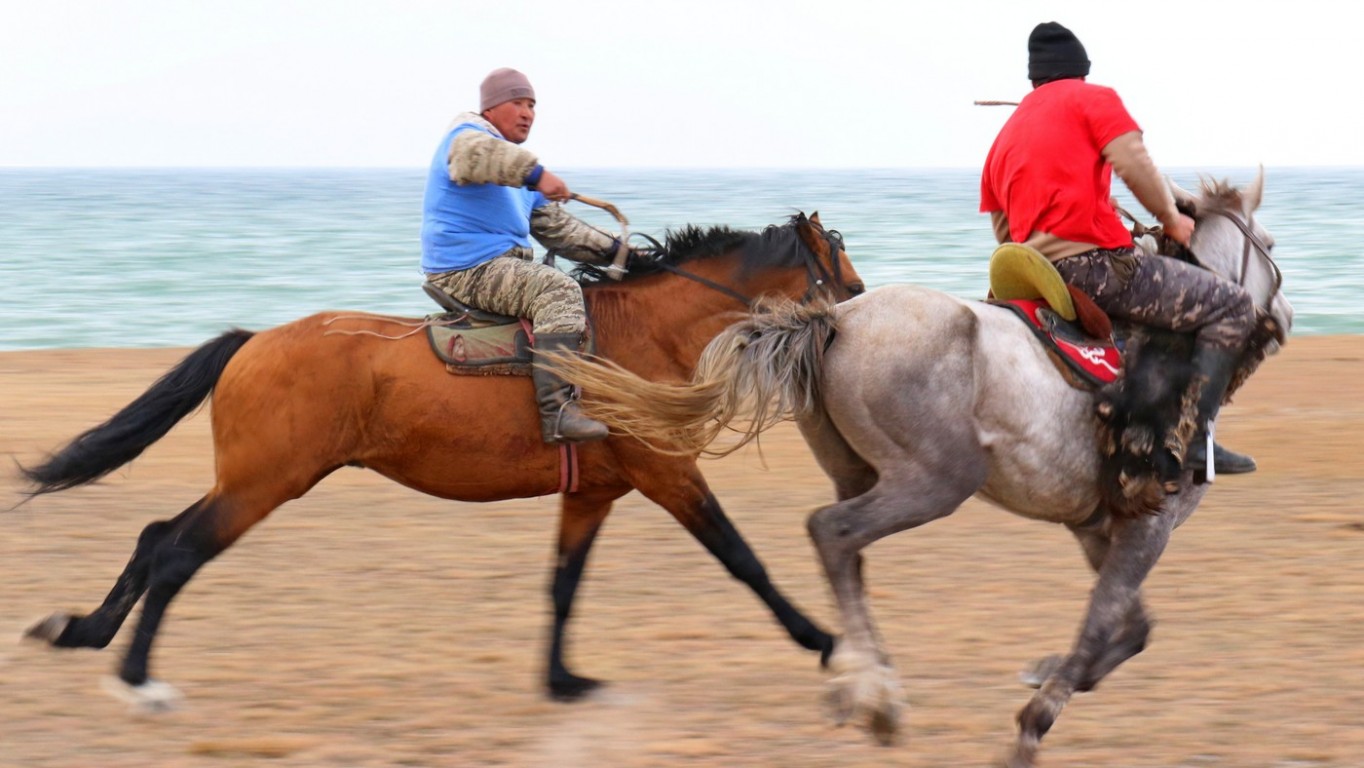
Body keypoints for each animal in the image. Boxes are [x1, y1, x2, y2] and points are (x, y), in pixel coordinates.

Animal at [18, 210, 862, 709]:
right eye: (839, 262)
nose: (858, 304)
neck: (636, 338)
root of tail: (253, 342)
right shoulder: (669, 477)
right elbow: (742, 558)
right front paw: (825, 641)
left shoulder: (594, 493)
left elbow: (563, 586)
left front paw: (561, 679)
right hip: (263, 486)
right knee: (176, 553)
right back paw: (137, 677)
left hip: (251, 482)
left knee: (156, 536)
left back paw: (82, 632)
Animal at [551, 171, 1287, 763]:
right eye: (1273, 247)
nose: (1281, 314)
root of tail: (833, 322)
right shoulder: (1147, 523)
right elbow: (1107, 622)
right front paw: (1035, 717)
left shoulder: (1096, 525)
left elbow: (1128, 628)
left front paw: (1047, 674)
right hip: (933, 483)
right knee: (832, 531)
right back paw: (875, 693)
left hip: (865, 473)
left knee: (845, 553)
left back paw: (863, 679)